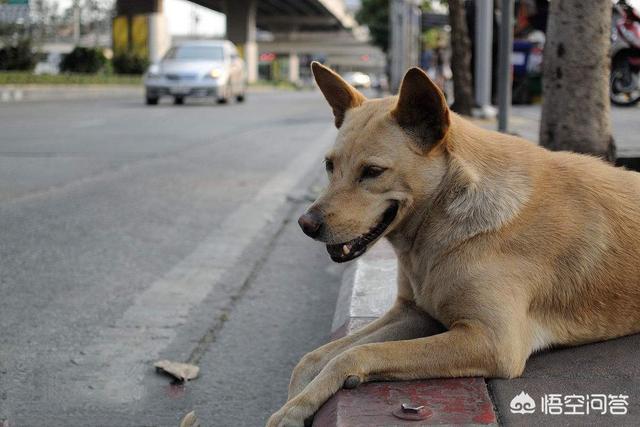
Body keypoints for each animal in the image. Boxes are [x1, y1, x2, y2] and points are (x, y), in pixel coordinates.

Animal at [266, 61, 640, 426]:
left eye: (372, 171)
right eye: (329, 165)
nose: (306, 224)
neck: (442, 219)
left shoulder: (491, 341)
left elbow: (354, 354)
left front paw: (299, 405)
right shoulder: (414, 312)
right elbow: (316, 356)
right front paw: (295, 401)